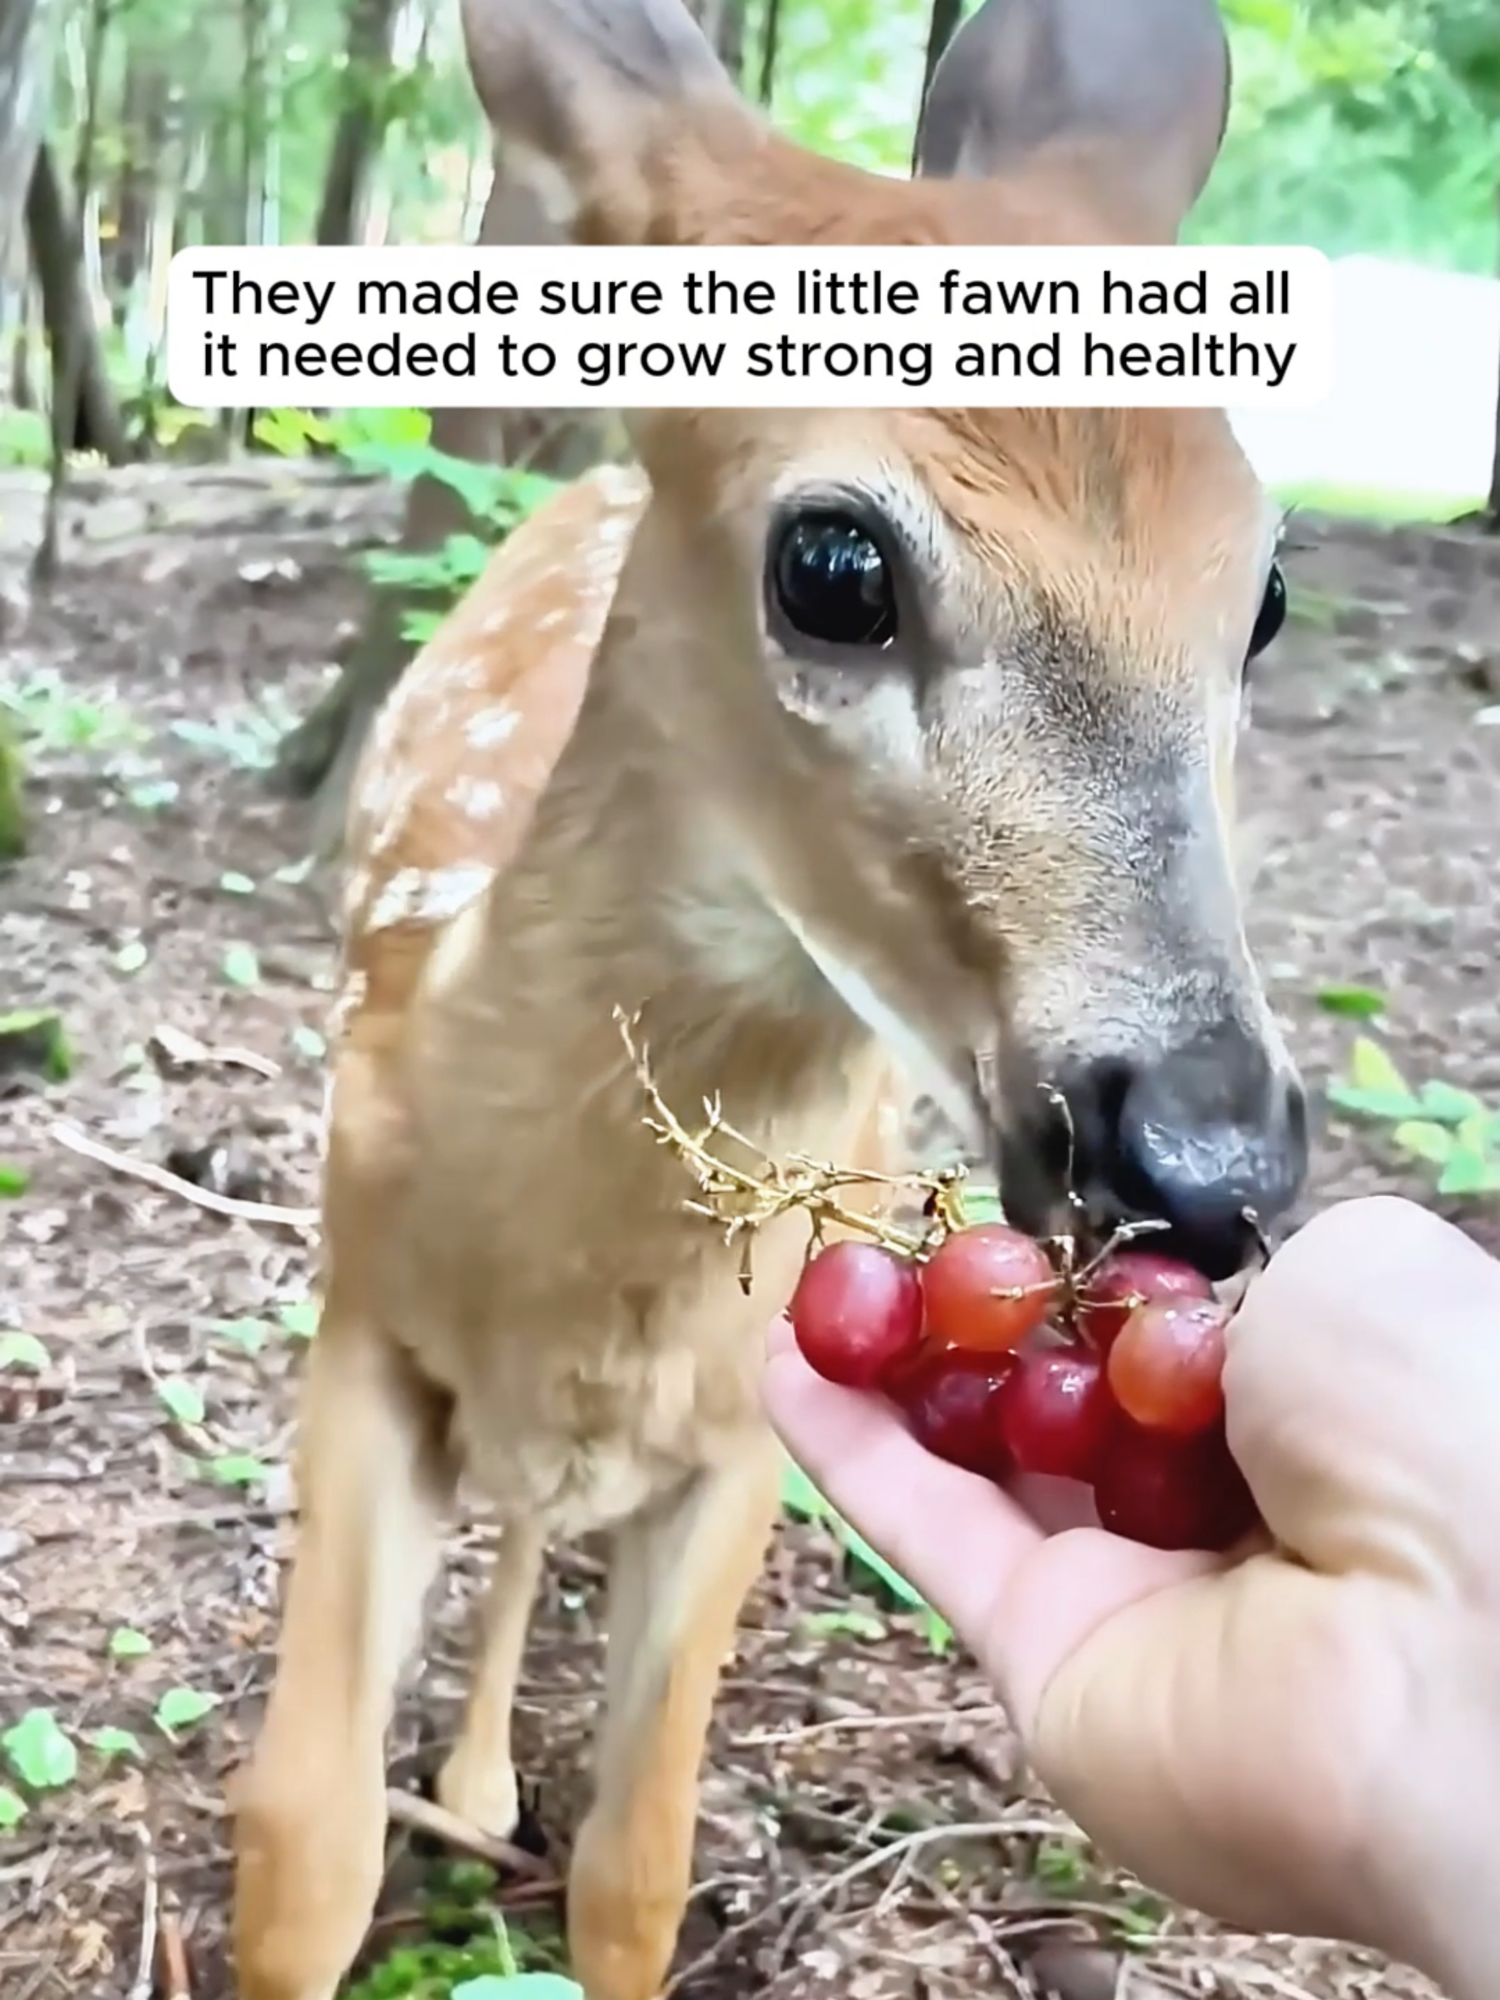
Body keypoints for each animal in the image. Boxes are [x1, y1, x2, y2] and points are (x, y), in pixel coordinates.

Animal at [230, 1, 1310, 1996]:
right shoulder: (361, 1326)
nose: (1206, 1162)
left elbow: (638, 1867)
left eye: (1265, 589)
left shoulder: (749, 1433)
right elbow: (304, 1846)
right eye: (831, 563)